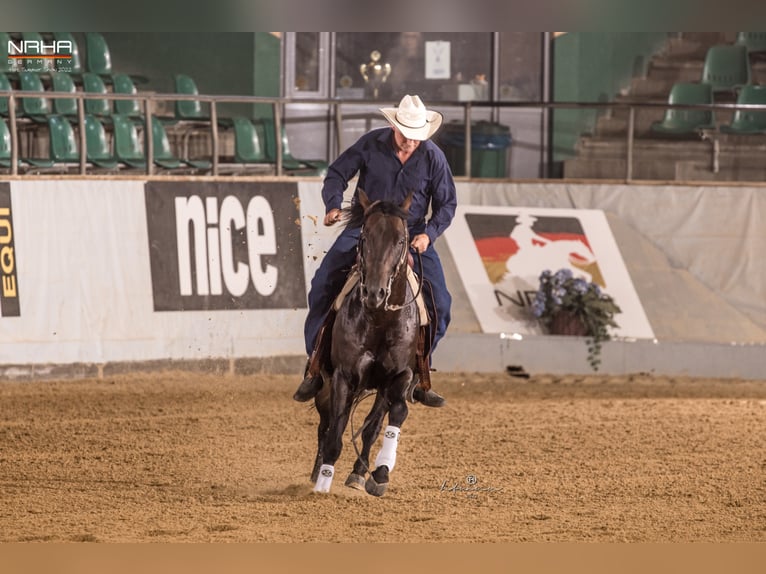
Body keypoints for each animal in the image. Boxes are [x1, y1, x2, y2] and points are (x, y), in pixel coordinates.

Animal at [310, 191, 420, 498]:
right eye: (364, 237)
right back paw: (317, 470)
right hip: (326, 382)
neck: (379, 320)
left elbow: (390, 417)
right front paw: (323, 481)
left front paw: (378, 472)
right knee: (326, 423)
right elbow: (335, 431)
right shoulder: (343, 376)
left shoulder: (398, 376)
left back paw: (360, 471)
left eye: (401, 240)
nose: (374, 293)